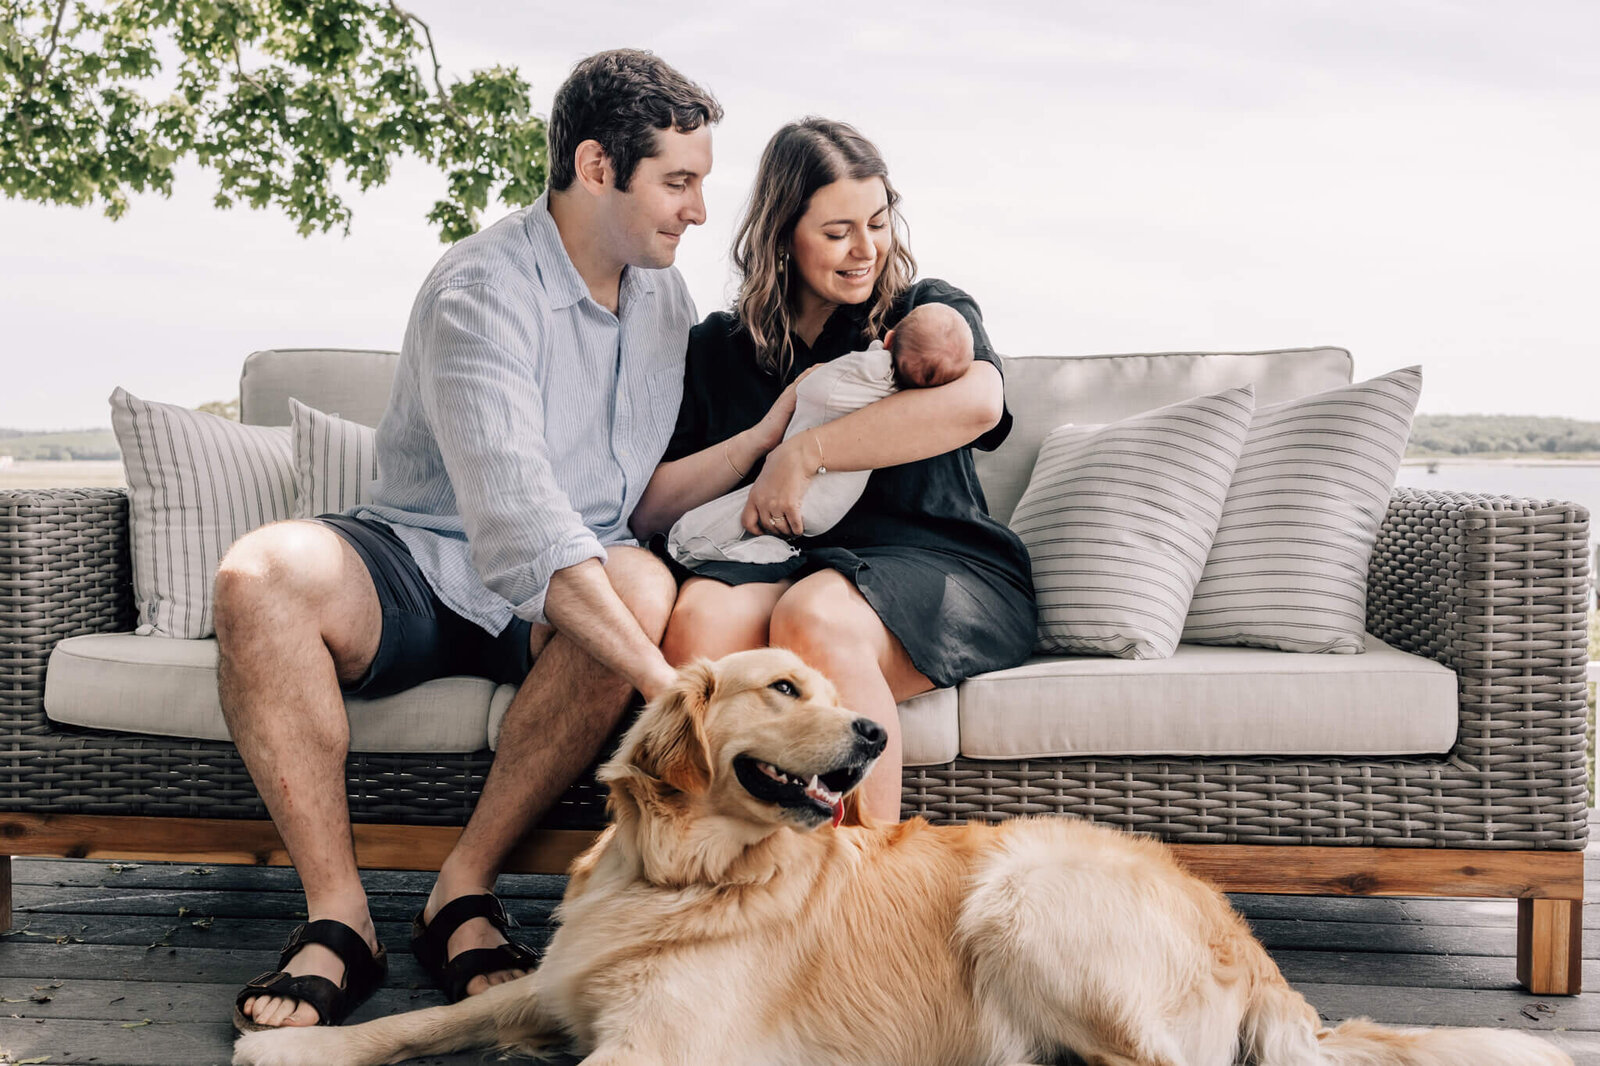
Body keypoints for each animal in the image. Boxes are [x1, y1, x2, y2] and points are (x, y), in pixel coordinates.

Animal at [236, 646, 1574, 1062]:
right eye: (785, 686)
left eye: (832, 686)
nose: (877, 729)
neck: (680, 875)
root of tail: (1250, 948)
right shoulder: (558, 990)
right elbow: (428, 1018)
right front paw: (293, 1039)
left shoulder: (654, 1048)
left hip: (1022, 899)